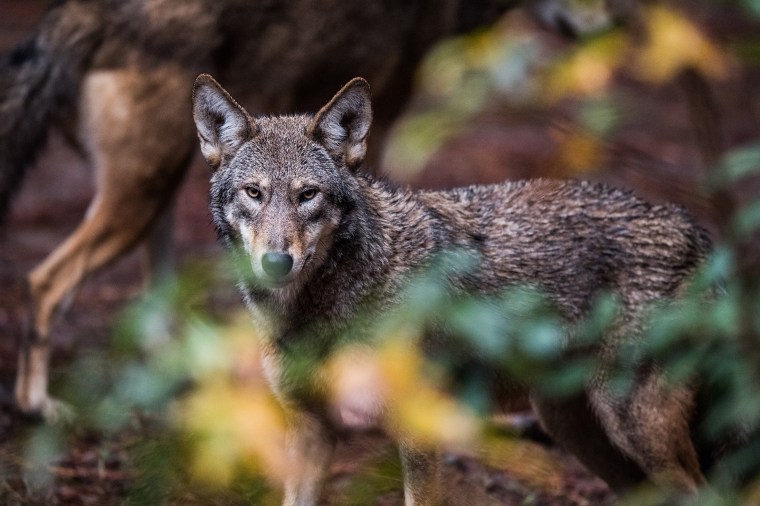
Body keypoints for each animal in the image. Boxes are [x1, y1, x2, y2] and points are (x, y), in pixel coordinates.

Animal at [192, 73, 713, 504]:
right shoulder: (310, 431)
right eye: (254, 193)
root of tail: (691, 225)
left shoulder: (419, 429)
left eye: (307, 195)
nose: (276, 263)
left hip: (634, 429)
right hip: (575, 429)